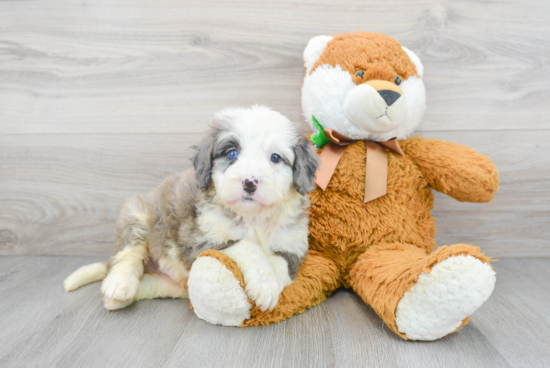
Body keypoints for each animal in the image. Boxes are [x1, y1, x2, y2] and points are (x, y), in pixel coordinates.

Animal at [62, 105, 322, 310]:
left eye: (275, 158)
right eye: (232, 154)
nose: (249, 182)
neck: (253, 219)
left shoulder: (294, 247)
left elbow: (279, 263)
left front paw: (269, 286)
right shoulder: (200, 241)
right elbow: (247, 246)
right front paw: (264, 283)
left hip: (171, 283)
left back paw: (118, 298)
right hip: (137, 212)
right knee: (127, 254)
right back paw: (119, 285)